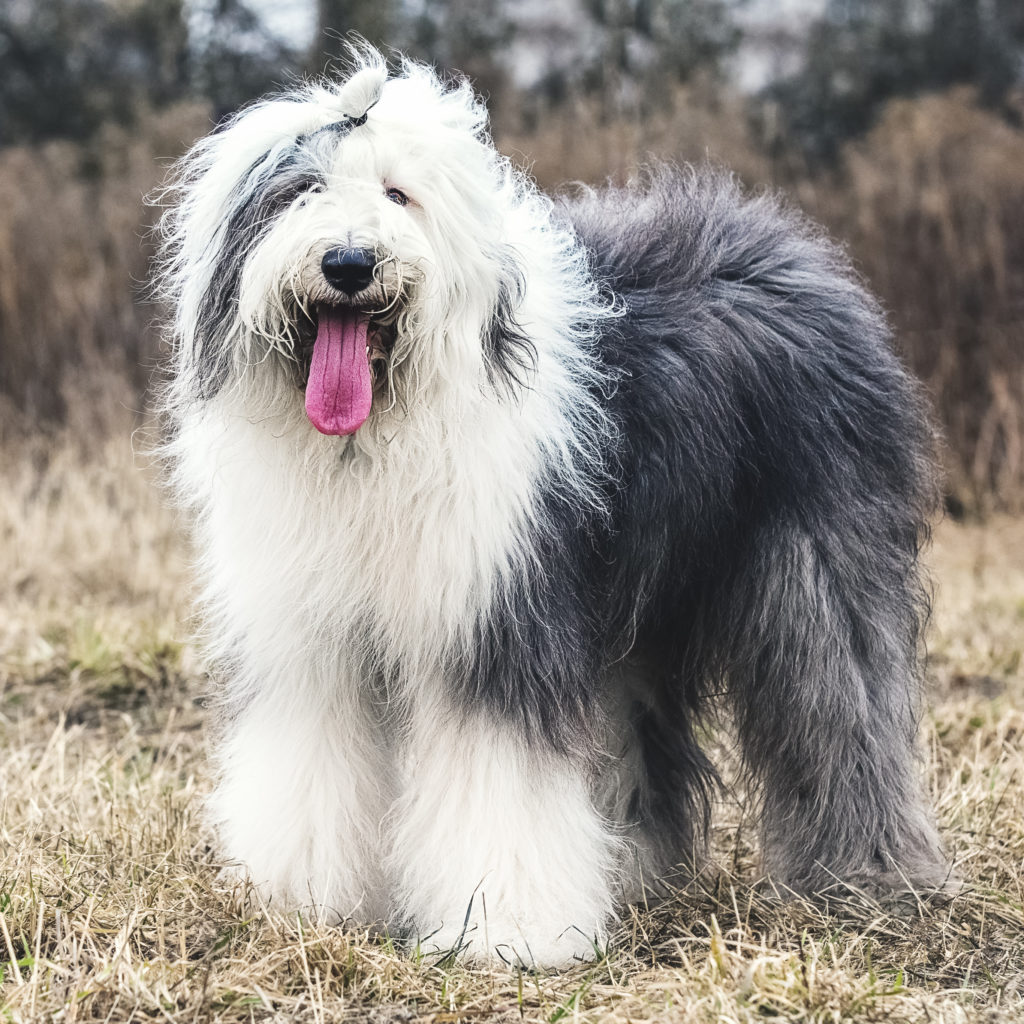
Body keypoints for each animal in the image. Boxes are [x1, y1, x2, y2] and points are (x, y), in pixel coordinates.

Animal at [155, 41, 946, 966]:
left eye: (397, 194)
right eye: (301, 191)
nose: (349, 264)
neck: (374, 435)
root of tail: (797, 249)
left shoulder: (496, 614)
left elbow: (500, 776)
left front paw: (506, 931)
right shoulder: (313, 637)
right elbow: (311, 758)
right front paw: (306, 902)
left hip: (815, 560)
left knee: (843, 702)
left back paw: (870, 878)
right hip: (636, 600)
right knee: (643, 730)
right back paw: (632, 869)